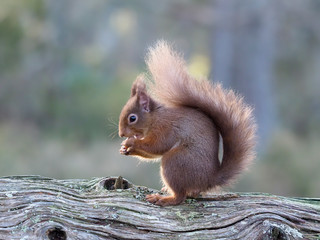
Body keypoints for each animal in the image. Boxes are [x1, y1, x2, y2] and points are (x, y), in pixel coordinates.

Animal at [119, 41, 256, 206]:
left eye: (132, 118)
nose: (121, 134)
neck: (156, 118)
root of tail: (209, 179)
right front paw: (125, 148)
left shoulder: (166, 128)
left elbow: (156, 146)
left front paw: (131, 142)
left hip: (176, 161)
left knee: (180, 196)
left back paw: (163, 198)